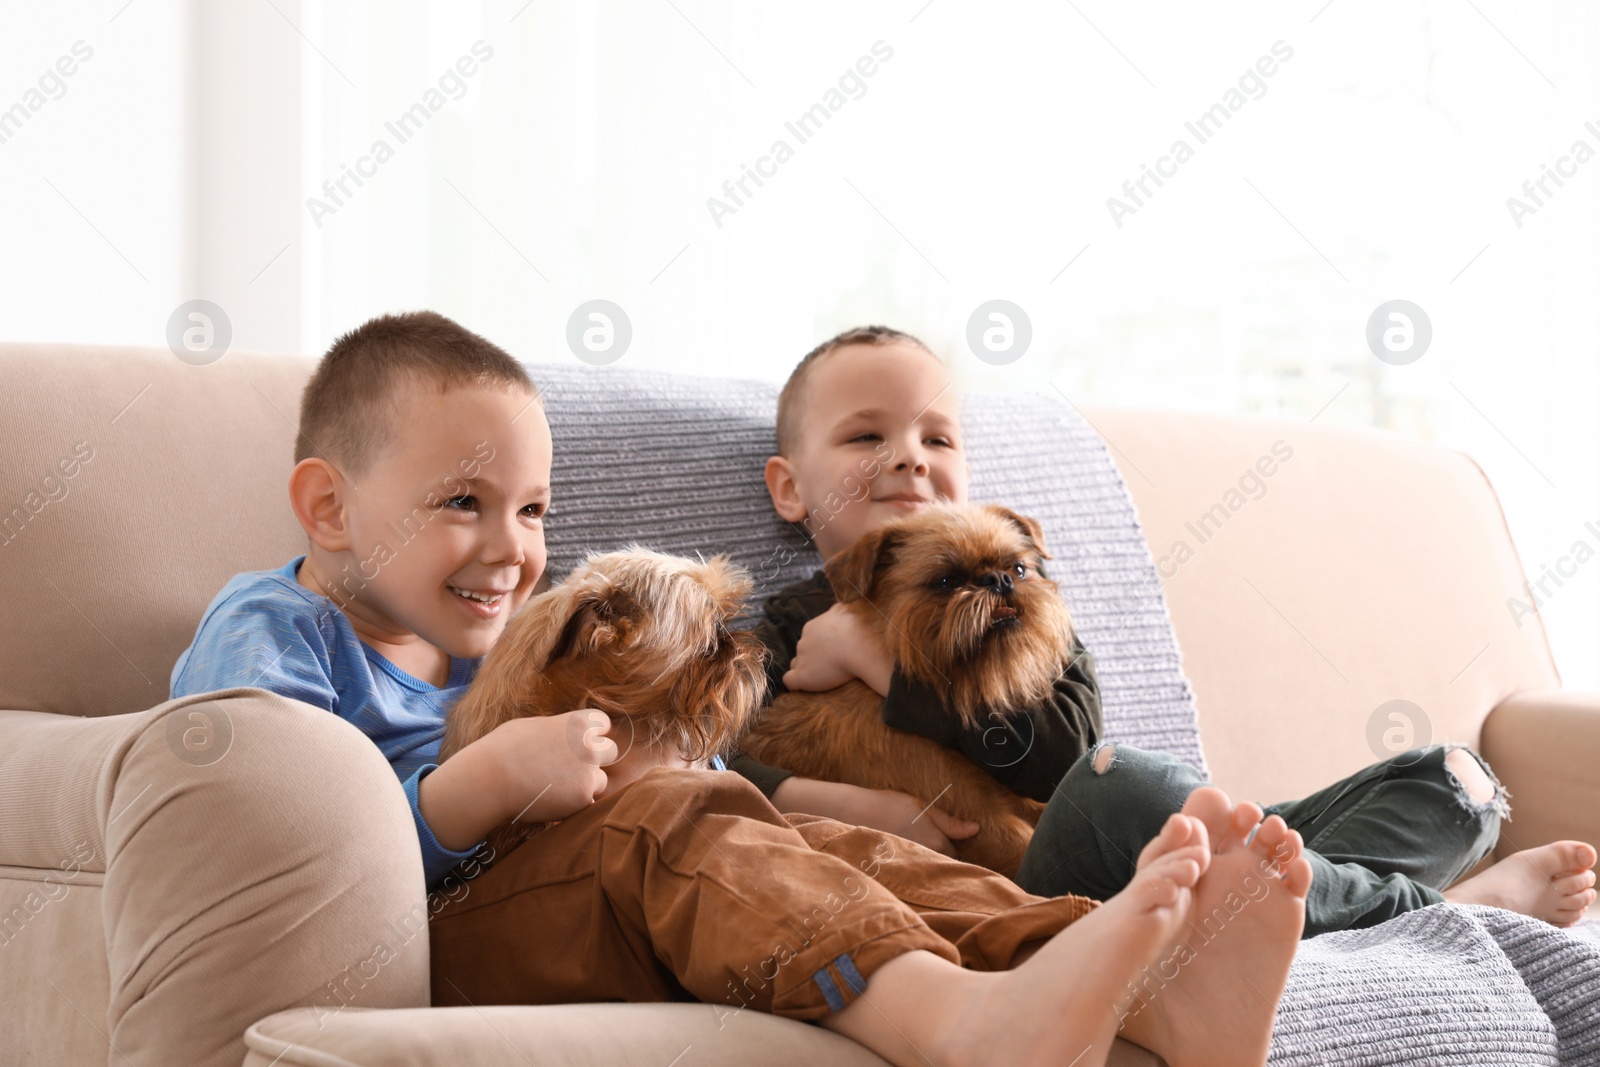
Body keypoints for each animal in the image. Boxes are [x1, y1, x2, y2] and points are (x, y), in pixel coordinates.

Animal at [742, 505, 1081, 883]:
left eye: (1019, 569)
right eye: (946, 582)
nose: (999, 579)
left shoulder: (1010, 798)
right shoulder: (982, 820)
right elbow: (1025, 845)